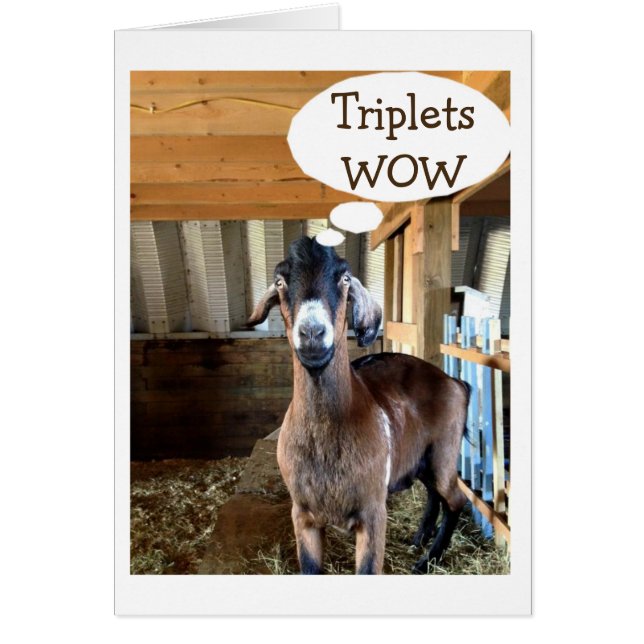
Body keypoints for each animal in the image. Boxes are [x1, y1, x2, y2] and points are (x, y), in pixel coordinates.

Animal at [247, 236, 469, 574]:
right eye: (280, 281)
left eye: (345, 278)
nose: (312, 333)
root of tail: (453, 382)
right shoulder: (302, 514)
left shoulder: (373, 512)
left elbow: (367, 569)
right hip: (421, 458)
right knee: (434, 495)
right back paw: (419, 539)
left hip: (444, 452)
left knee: (455, 500)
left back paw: (426, 561)